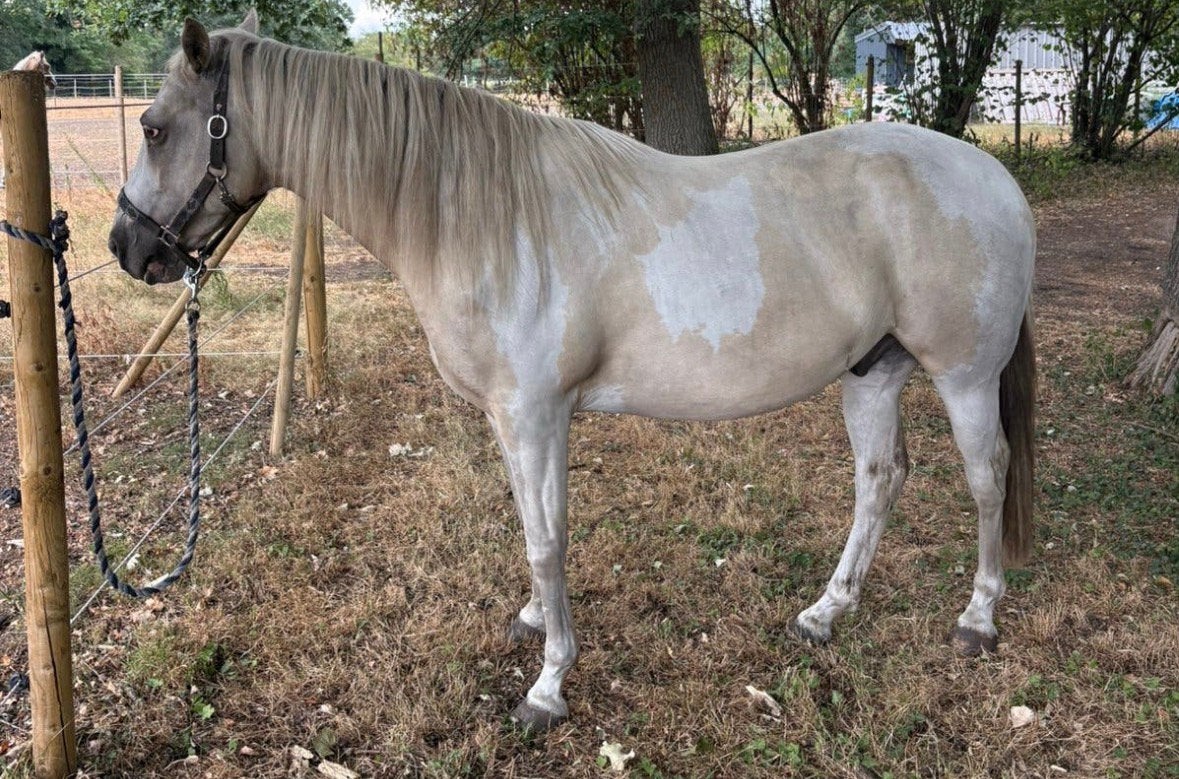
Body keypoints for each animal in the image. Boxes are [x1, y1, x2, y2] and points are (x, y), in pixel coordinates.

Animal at [107, 15, 1036, 730]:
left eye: (153, 128)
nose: (127, 248)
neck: (479, 216)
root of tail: (994, 176)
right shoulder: (509, 417)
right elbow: (532, 523)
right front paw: (531, 622)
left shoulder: (535, 411)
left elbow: (547, 538)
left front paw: (549, 684)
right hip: (870, 371)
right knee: (879, 478)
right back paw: (824, 611)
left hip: (962, 376)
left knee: (986, 477)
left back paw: (978, 617)